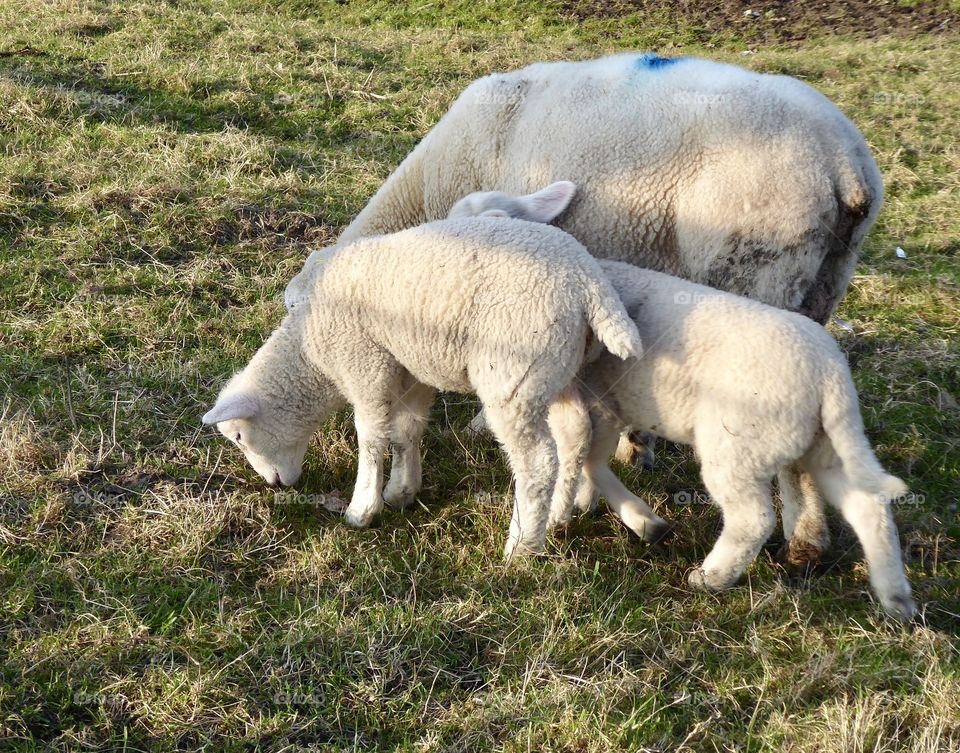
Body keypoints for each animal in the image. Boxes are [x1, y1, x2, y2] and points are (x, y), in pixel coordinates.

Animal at [201, 217, 644, 560]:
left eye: (238, 437)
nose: (275, 485)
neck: (311, 353)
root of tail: (589, 285)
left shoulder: (365, 364)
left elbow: (370, 437)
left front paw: (363, 508)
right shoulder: (408, 368)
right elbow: (406, 430)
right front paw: (402, 490)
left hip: (513, 375)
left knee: (536, 461)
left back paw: (522, 547)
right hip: (557, 372)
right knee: (576, 435)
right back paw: (558, 517)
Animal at [280, 51, 884, 568]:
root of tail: (846, 166)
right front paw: (629, 453)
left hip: (762, 271)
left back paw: (796, 541)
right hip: (826, 280)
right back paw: (808, 538)